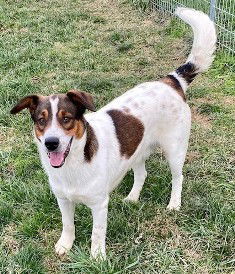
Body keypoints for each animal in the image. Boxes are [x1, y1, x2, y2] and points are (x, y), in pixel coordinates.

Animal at [11, 7, 217, 258]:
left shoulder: (99, 204)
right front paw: (65, 244)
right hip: (137, 150)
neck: (74, 164)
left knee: (178, 177)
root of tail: (171, 81)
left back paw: (174, 204)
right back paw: (133, 197)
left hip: (175, 149)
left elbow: (97, 233)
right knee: (142, 174)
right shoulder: (63, 199)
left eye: (66, 119)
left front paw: (97, 257)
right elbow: (68, 224)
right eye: (41, 121)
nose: (51, 143)